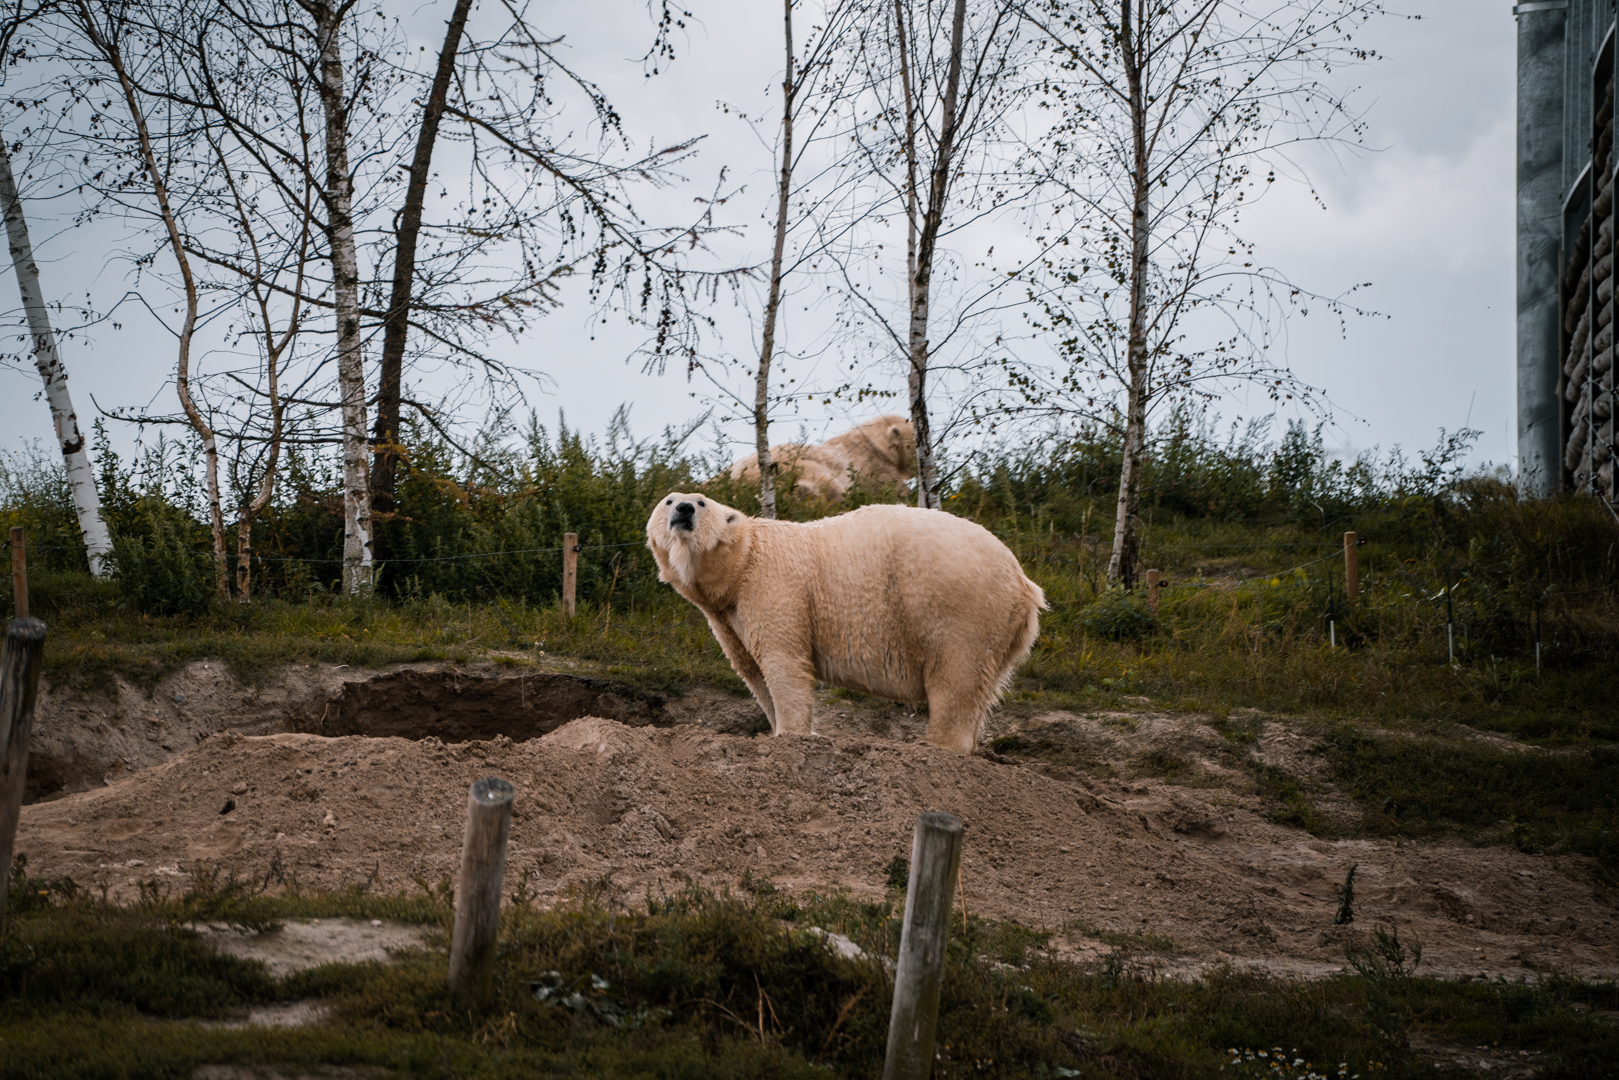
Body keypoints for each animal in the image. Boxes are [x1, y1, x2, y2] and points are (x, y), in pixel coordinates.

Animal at [646, 492, 1046, 752]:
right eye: (668, 501)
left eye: (700, 502)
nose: (683, 509)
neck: (744, 559)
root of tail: (1024, 584)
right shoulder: (727, 615)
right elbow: (752, 670)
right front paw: (775, 728)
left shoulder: (774, 586)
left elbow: (783, 660)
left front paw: (791, 735)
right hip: (999, 627)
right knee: (981, 687)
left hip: (960, 606)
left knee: (956, 675)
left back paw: (936, 745)